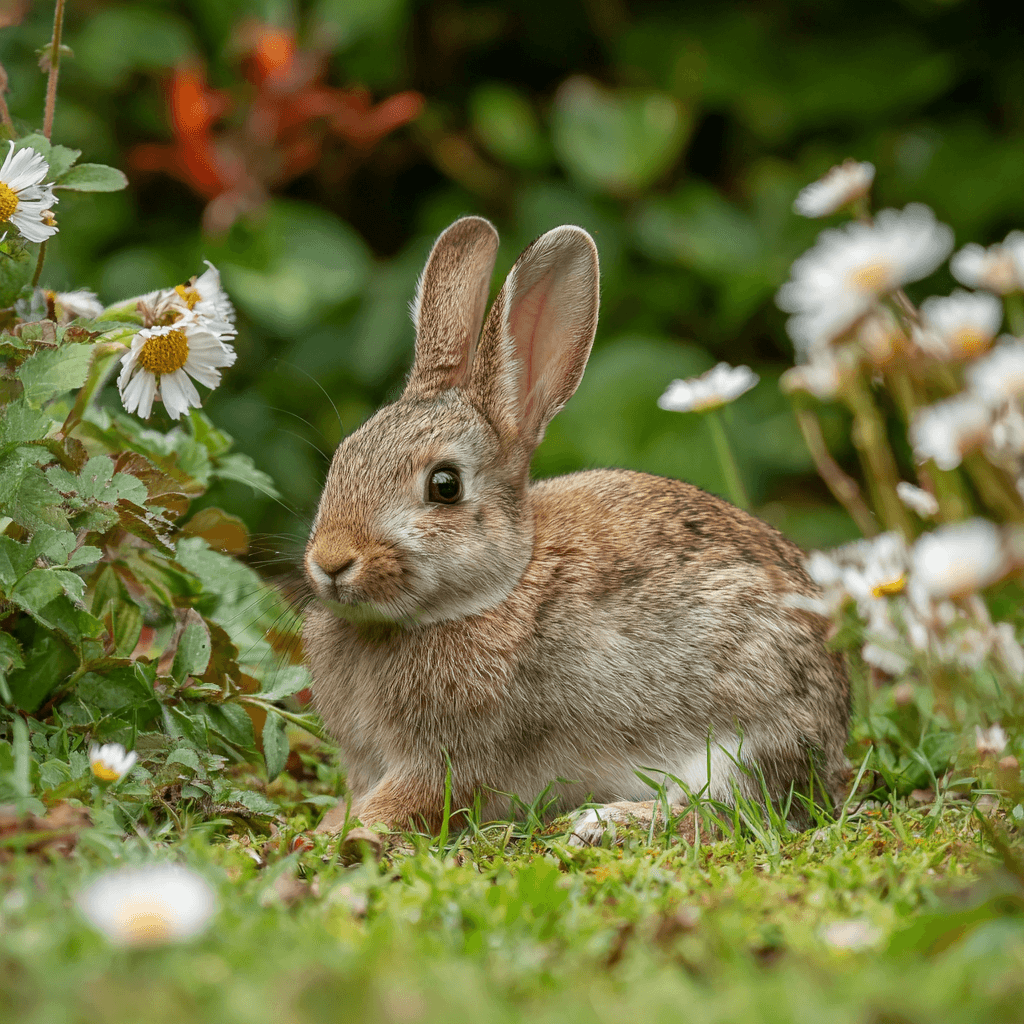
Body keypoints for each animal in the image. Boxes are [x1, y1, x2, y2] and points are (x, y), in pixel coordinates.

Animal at [302, 215, 850, 843]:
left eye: (445, 486)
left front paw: (330, 839)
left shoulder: (450, 759)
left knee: (734, 812)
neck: (493, 592)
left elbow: (412, 798)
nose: (331, 561)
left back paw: (607, 822)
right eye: (343, 456)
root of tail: (836, 732)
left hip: (743, 729)